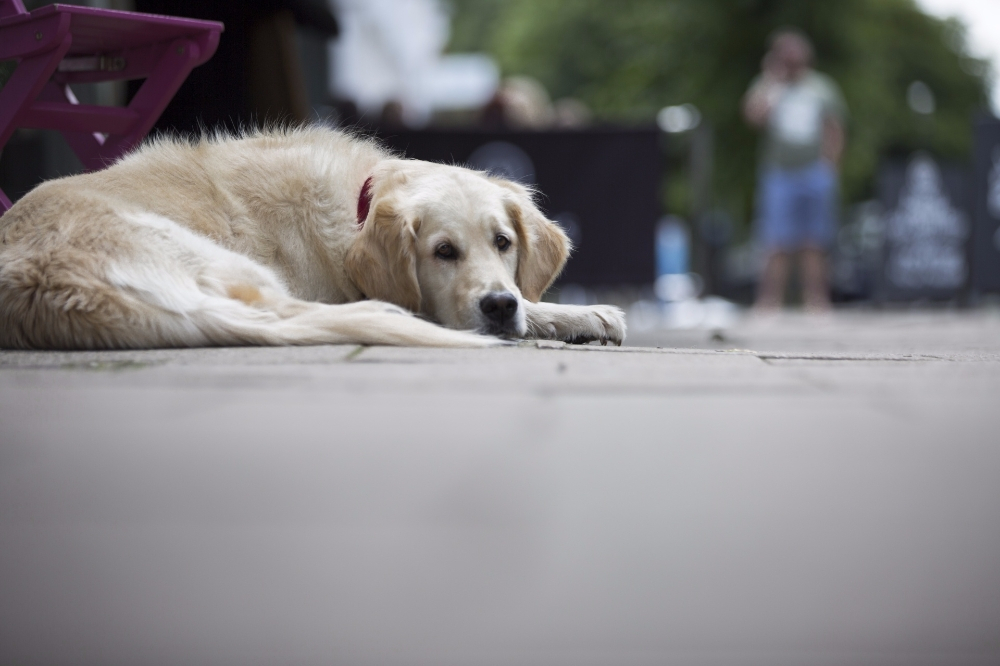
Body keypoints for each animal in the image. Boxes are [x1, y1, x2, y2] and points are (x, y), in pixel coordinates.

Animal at [0, 126, 624, 350]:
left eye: (504, 243)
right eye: (443, 252)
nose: (497, 305)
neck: (358, 207)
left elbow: (530, 301)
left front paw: (580, 316)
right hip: (220, 262)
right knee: (287, 312)